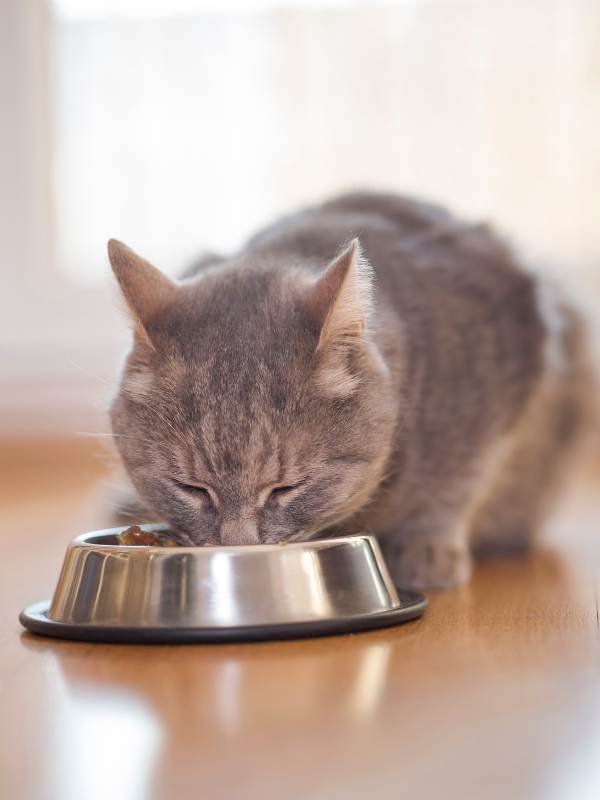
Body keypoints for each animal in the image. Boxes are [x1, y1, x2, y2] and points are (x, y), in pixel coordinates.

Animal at [108, 192, 592, 588]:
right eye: (191, 488)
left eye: (287, 488)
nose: (241, 547)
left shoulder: (506, 371)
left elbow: (460, 476)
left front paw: (427, 544)